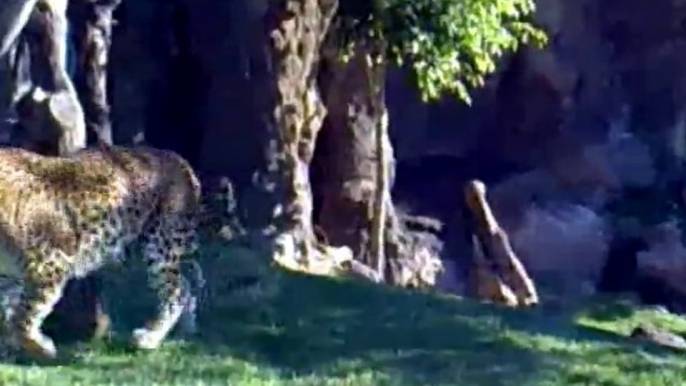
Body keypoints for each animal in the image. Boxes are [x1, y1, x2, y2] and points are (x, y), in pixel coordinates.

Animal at [0, 144, 202, 358]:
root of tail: (178, 159)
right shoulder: (11, 276)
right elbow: (10, 314)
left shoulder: (49, 264)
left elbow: (23, 317)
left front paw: (43, 348)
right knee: (186, 284)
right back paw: (184, 331)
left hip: (159, 244)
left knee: (176, 291)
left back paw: (150, 338)